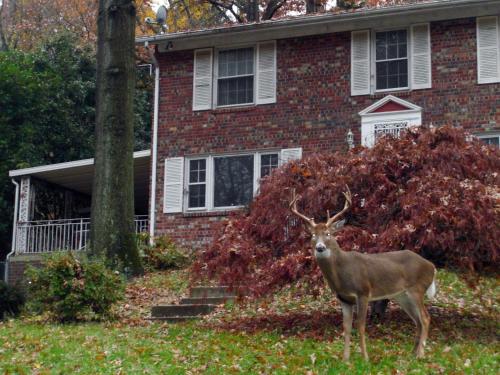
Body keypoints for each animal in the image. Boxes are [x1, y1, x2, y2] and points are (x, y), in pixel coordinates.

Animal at [292, 187, 436, 362]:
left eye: (328, 234)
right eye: (313, 235)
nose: (320, 247)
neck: (342, 272)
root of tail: (432, 266)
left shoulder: (363, 292)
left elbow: (360, 326)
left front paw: (365, 358)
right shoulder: (344, 298)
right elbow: (346, 327)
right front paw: (345, 359)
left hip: (417, 288)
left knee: (425, 318)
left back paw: (421, 354)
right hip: (402, 295)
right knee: (417, 320)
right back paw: (412, 354)